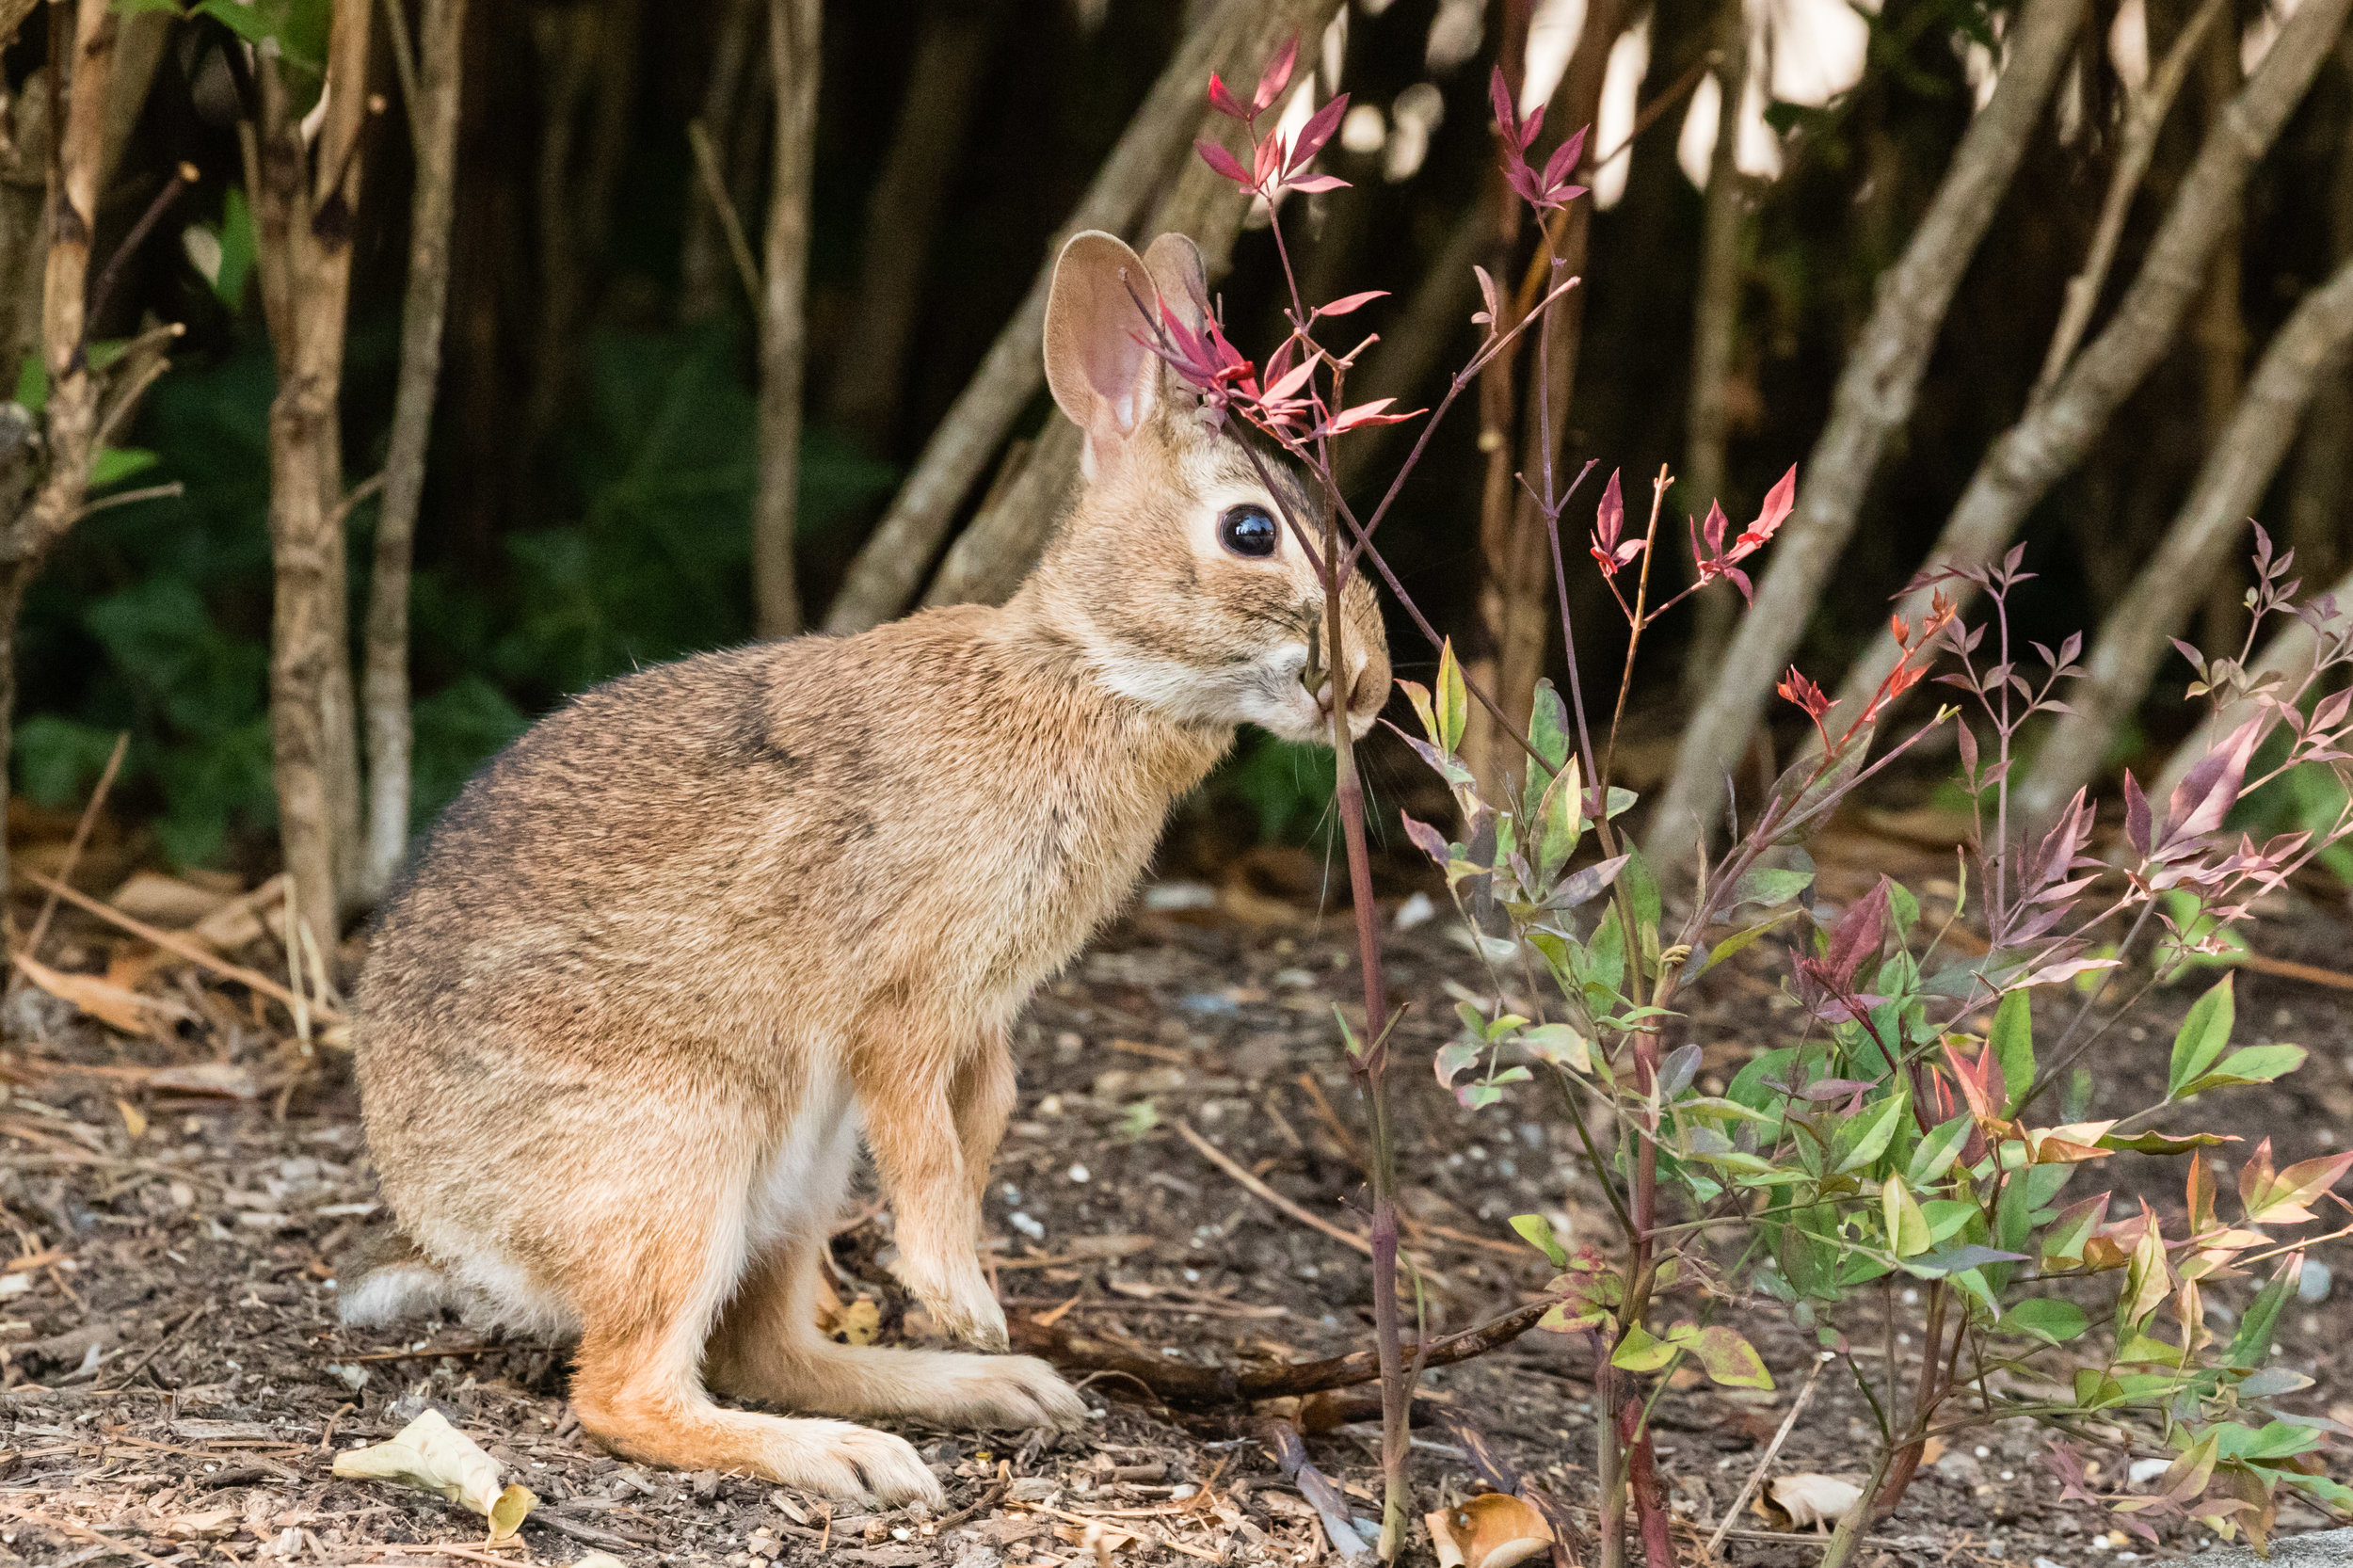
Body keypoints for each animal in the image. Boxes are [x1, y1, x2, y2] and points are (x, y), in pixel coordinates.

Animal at [341, 229, 1384, 1506]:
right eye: (1250, 532)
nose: (1371, 685)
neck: (1088, 674)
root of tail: (446, 1222)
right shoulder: (903, 1004)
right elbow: (928, 1146)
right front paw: (962, 1294)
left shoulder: (986, 1019)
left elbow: (986, 1119)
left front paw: (972, 1309)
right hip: (682, 1149)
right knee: (628, 1392)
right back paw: (858, 1452)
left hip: (798, 1172)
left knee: (767, 1349)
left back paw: (985, 1394)